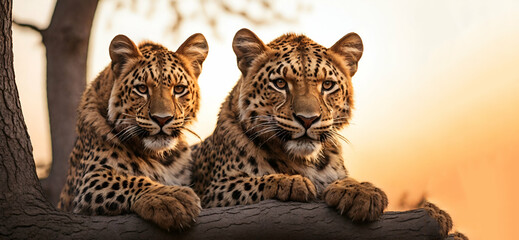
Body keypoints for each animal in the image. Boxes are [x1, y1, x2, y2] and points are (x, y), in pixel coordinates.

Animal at [58, 32, 208, 231]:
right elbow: (127, 180)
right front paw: (171, 198)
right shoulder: (88, 180)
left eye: (179, 89)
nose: (162, 119)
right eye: (142, 89)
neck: (161, 157)